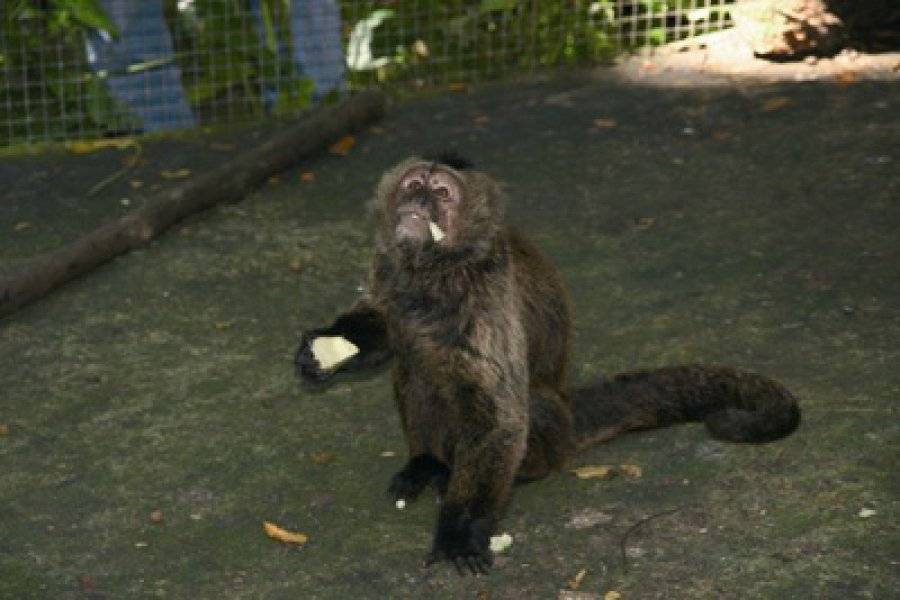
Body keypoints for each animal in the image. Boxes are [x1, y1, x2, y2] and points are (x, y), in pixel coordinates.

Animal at [298, 154, 800, 572]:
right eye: (414, 184)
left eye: (441, 193)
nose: (420, 198)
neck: (430, 273)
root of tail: (567, 408)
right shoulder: (387, 266)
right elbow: (387, 329)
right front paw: (326, 350)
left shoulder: (483, 293)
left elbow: (501, 419)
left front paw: (461, 531)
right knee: (415, 366)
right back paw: (427, 461)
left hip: (551, 427)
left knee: (518, 402)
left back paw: (479, 473)